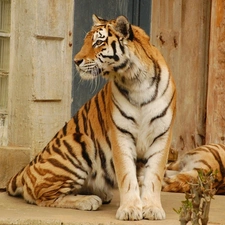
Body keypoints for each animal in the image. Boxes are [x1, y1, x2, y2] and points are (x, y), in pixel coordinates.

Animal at [6, 14, 176, 221]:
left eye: (98, 42)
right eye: (86, 41)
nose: (76, 61)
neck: (136, 80)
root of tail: (26, 169)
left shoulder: (161, 135)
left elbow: (154, 176)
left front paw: (151, 208)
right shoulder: (121, 135)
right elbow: (127, 176)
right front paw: (129, 210)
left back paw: (100, 194)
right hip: (79, 142)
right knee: (41, 196)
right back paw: (88, 200)